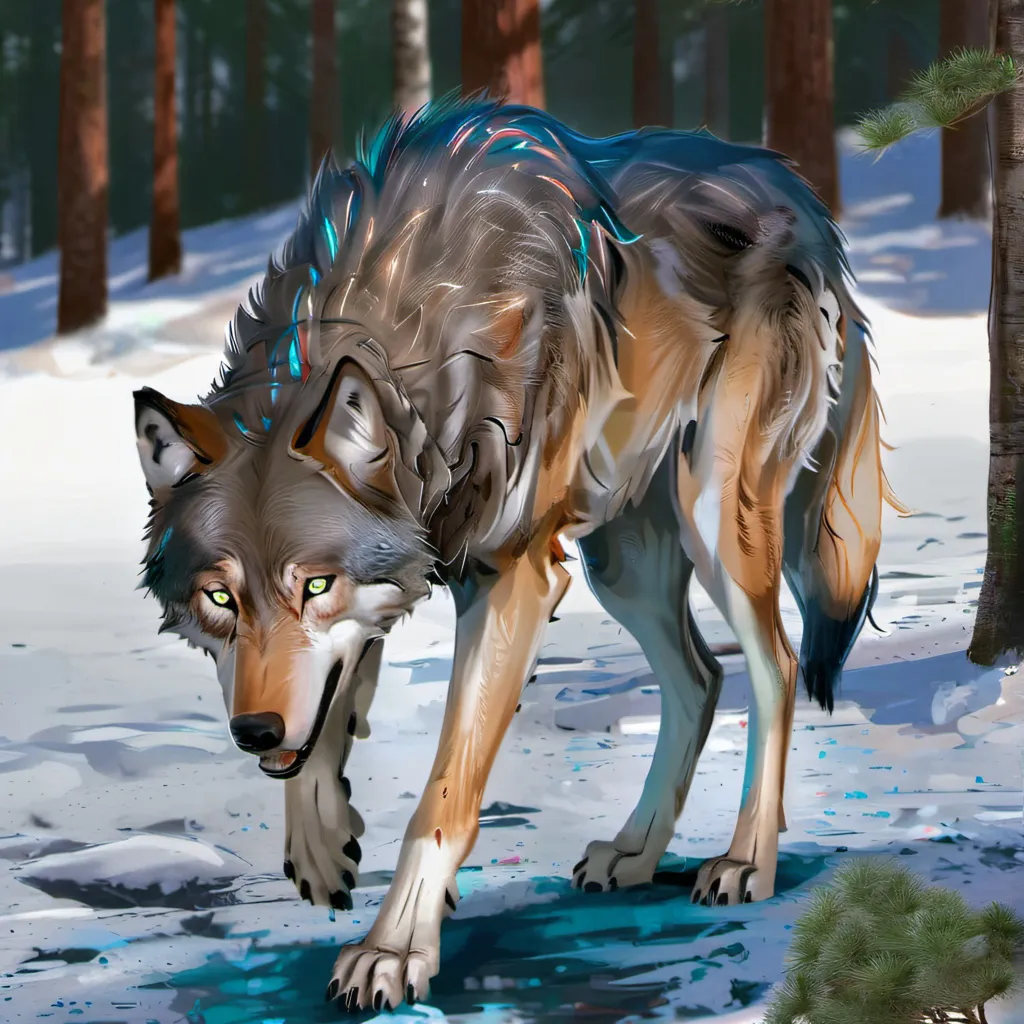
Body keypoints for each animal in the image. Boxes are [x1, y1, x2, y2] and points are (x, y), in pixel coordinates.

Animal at [132, 96, 900, 1011]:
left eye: (314, 585)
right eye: (220, 600)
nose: (252, 732)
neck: (411, 330)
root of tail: (800, 196)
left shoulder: (511, 579)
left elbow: (444, 792)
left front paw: (393, 950)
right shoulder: (400, 578)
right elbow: (326, 720)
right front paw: (320, 846)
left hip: (714, 516)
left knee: (775, 664)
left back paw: (747, 859)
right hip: (624, 564)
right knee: (701, 678)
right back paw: (635, 851)